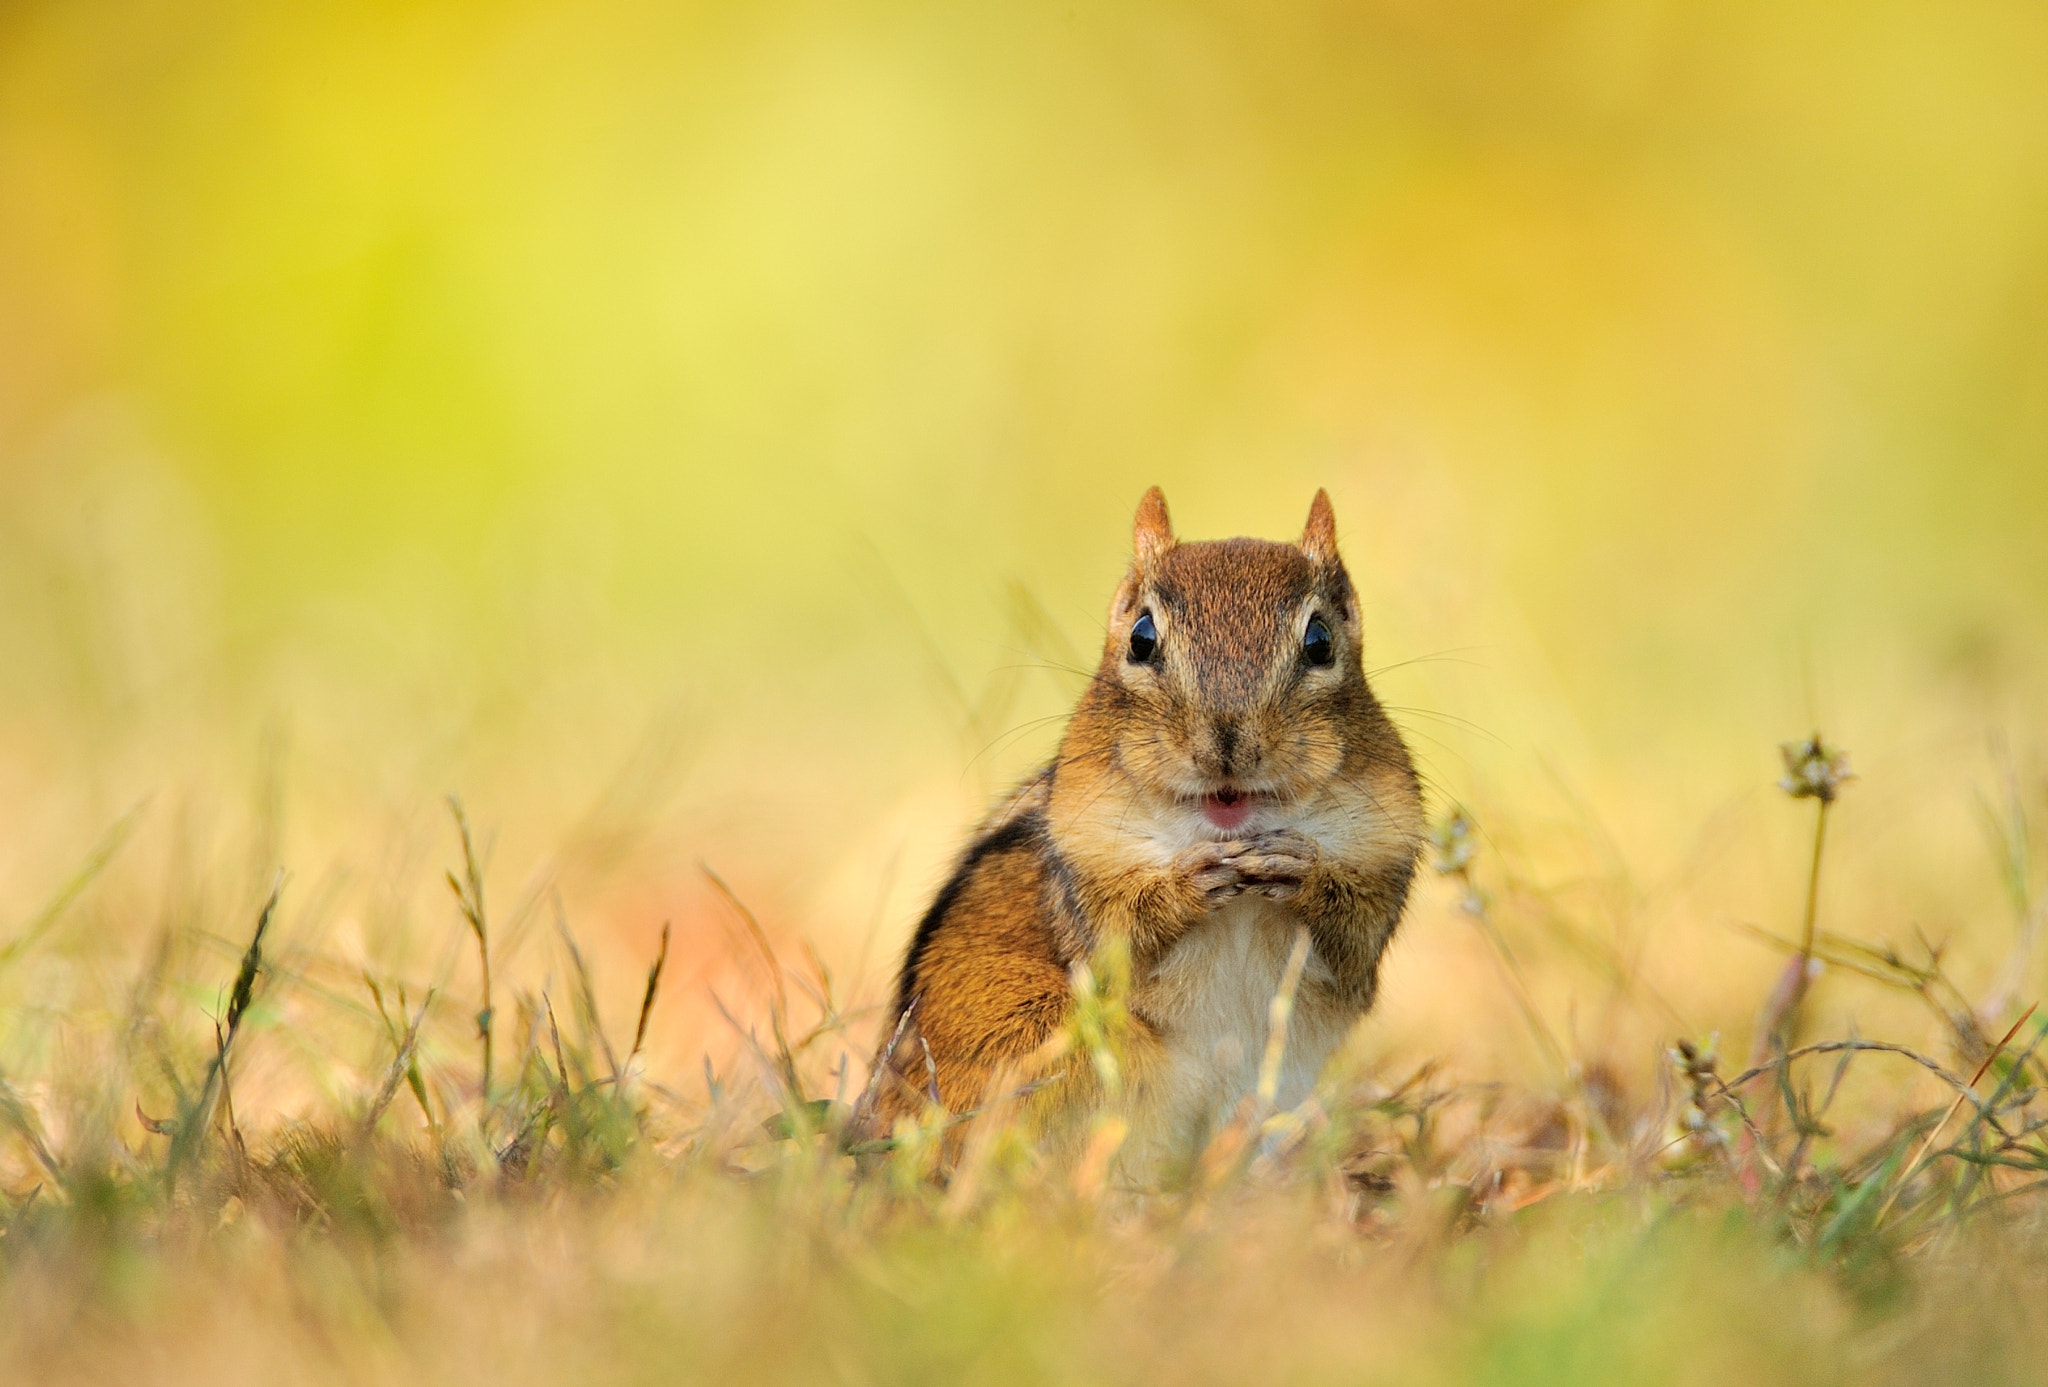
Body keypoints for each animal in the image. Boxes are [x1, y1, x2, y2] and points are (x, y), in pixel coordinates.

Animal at [858, 487, 1424, 1181]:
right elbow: (1117, 942)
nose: (1227, 743)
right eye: (1141, 638)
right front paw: (1186, 885)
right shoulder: (1084, 866)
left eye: (1319, 640)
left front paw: (1304, 873)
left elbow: (1354, 940)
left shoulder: (1381, 857)